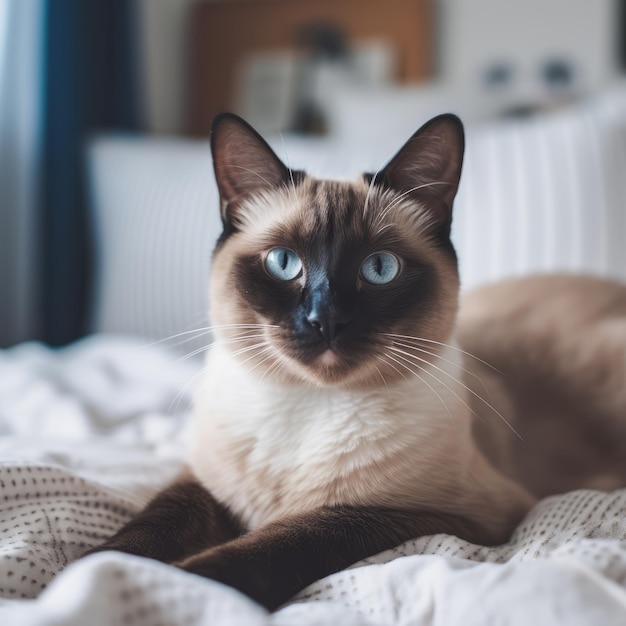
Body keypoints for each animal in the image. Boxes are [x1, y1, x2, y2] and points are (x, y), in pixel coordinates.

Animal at [86, 113, 624, 608]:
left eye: (379, 268)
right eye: (283, 263)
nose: (326, 320)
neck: (304, 406)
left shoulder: (443, 513)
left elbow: (291, 538)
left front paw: (184, 581)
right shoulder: (201, 482)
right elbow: (147, 528)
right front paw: (93, 570)